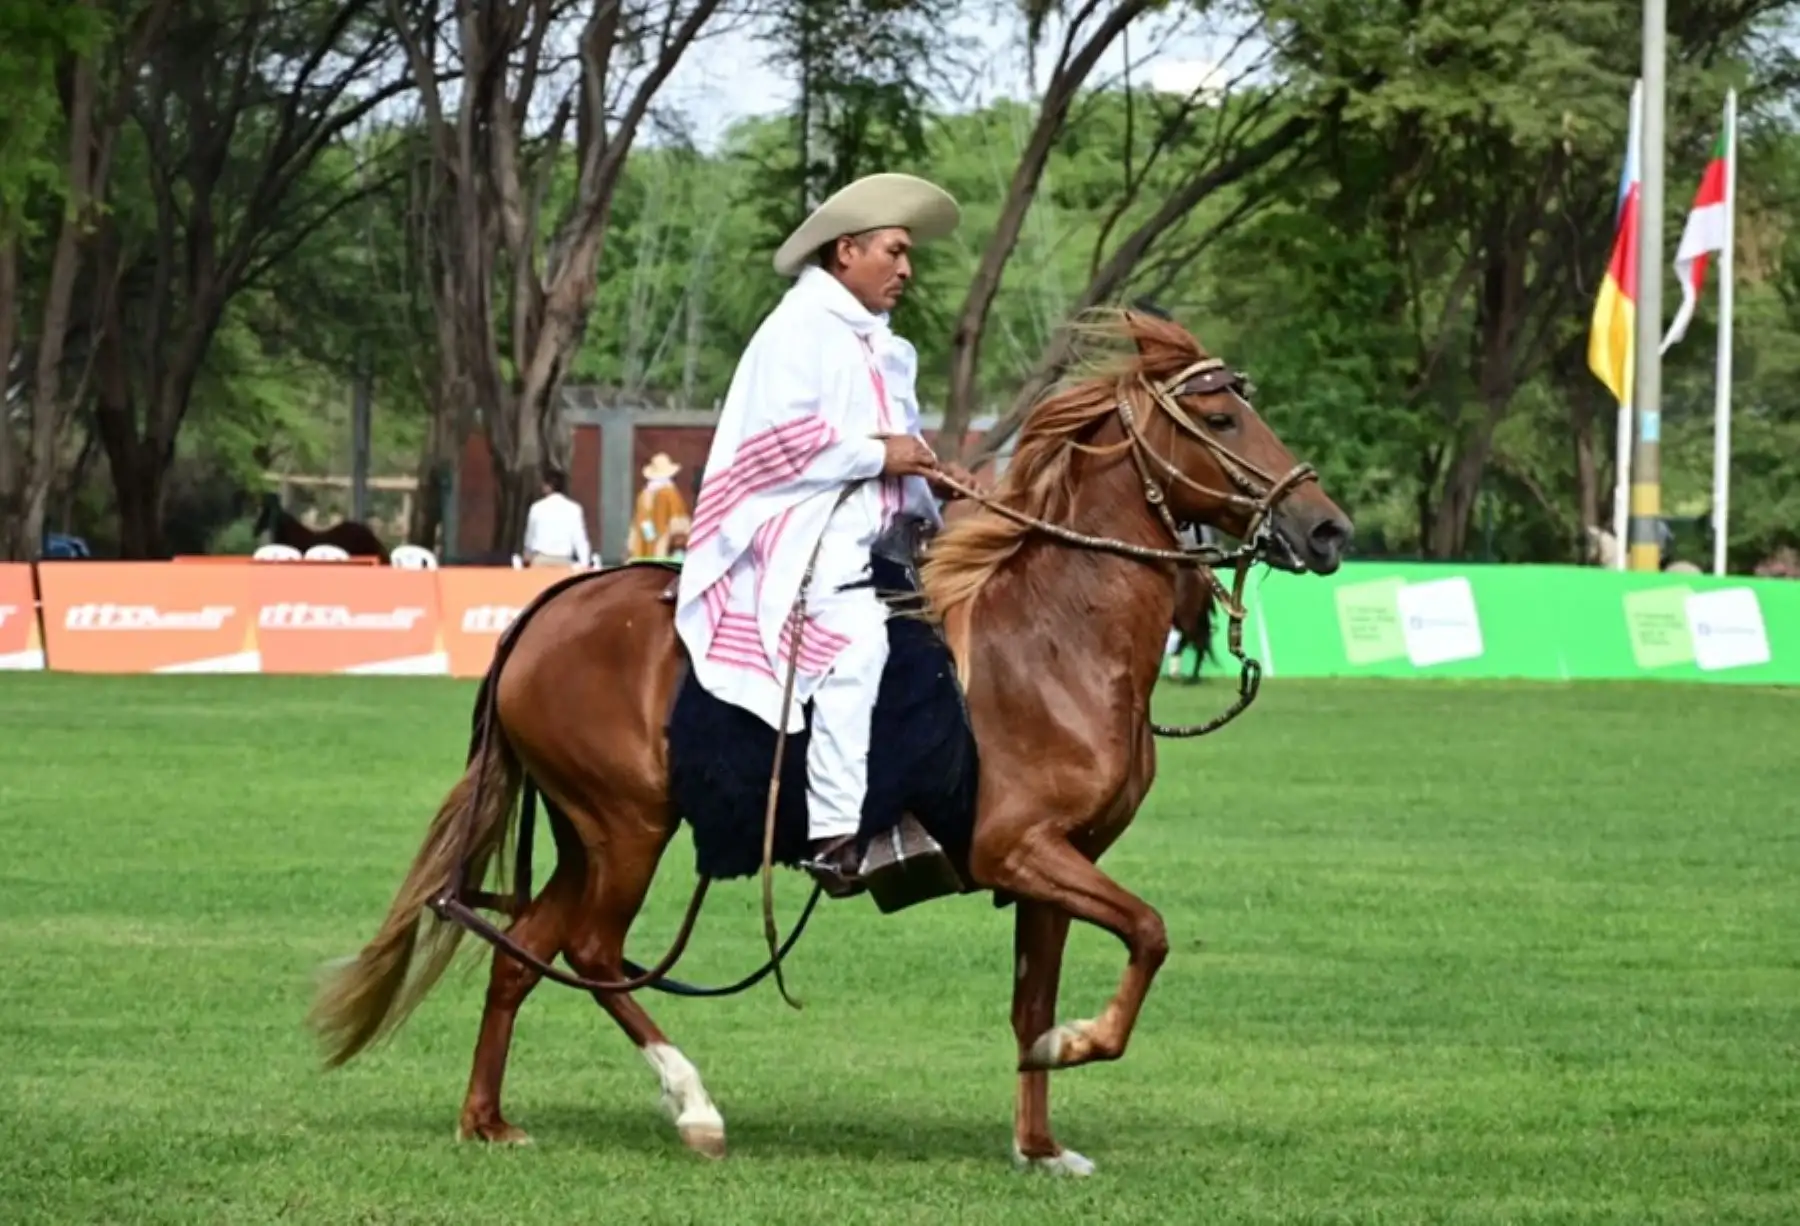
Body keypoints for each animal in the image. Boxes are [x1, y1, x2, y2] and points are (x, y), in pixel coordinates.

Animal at [306, 310, 1352, 1173]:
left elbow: (1038, 998)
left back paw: (486, 1118)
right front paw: (1079, 1046)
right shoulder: (1020, 848)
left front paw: (1041, 1144)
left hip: (587, 835)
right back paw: (693, 1105)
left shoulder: (1059, 861)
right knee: (596, 955)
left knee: (524, 950)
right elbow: (1149, 933)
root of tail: (545, 610)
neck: (1055, 636)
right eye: (1219, 419)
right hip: (628, 828)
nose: (1327, 528)